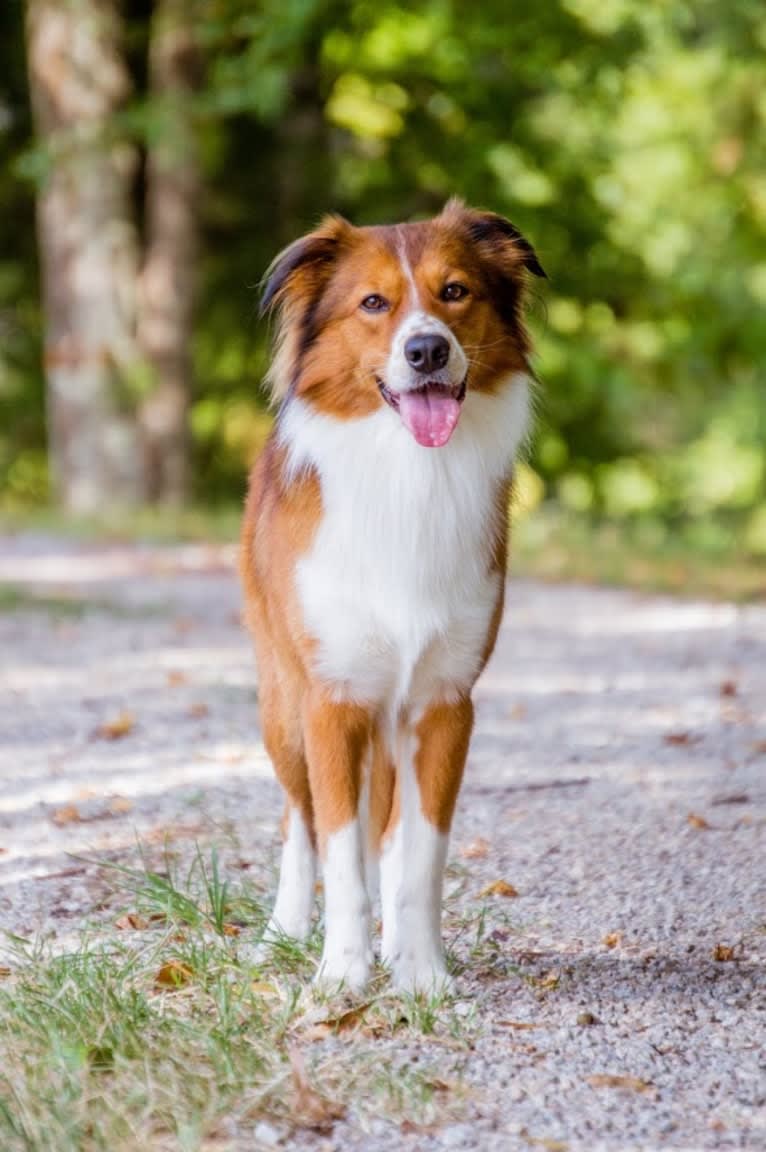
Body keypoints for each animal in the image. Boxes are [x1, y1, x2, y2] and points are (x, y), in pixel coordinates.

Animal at [239, 195, 543, 990]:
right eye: (373, 303)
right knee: (300, 819)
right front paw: (342, 976)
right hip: (282, 705)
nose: (427, 351)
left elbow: (420, 858)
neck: (410, 473)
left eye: (455, 292)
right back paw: (285, 931)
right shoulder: (333, 701)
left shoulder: (444, 705)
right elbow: (339, 851)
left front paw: (421, 974)